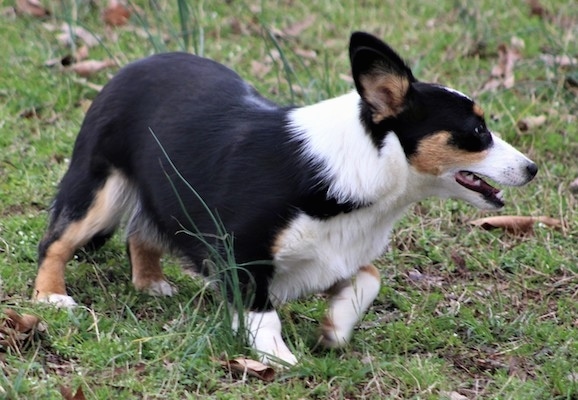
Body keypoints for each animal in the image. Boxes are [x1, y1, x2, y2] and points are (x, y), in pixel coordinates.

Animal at [35, 32, 536, 366]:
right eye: (477, 132)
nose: (532, 169)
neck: (365, 161)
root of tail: (130, 67)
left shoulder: (340, 253)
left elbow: (369, 279)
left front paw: (335, 330)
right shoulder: (242, 252)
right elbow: (264, 314)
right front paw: (277, 358)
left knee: (143, 230)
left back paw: (151, 283)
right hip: (99, 189)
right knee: (56, 242)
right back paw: (51, 297)